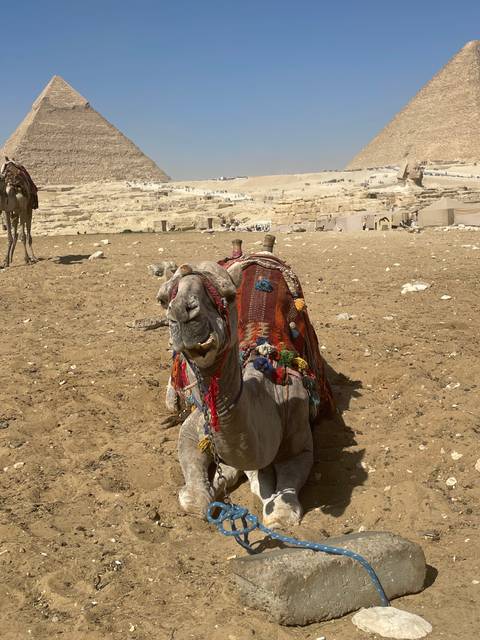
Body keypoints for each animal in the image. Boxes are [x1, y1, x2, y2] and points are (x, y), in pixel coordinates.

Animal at [158, 252, 333, 529]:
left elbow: (282, 492)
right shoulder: (196, 424)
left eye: (229, 294)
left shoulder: (299, 429)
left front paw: (278, 511)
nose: (184, 315)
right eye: (163, 299)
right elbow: (196, 500)